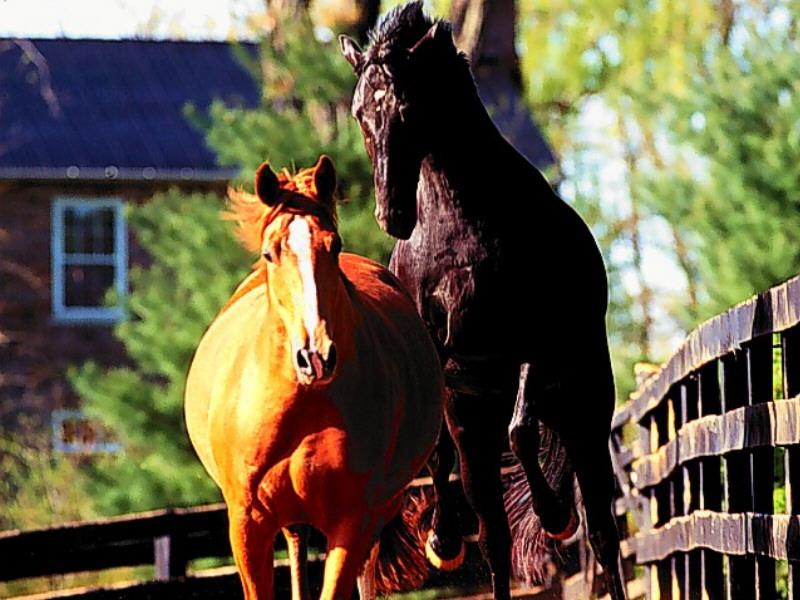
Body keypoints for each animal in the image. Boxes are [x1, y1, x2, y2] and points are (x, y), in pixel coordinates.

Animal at [184, 157, 444, 596]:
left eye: (333, 245)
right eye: (270, 253)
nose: (315, 357)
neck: (302, 404)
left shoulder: (352, 522)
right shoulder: (247, 523)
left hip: (377, 513)